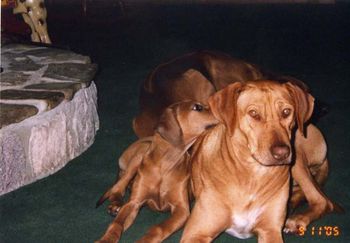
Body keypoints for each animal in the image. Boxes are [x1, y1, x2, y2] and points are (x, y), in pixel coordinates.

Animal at [94, 99, 217, 242]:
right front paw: (106, 239)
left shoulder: (181, 209)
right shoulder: (134, 203)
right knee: (118, 187)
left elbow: (158, 228)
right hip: (139, 155)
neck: (165, 166)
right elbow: (117, 223)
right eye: (197, 107)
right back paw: (116, 204)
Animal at [178, 80, 340, 242]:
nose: (282, 153)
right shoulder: (196, 233)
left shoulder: (270, 230)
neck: (253, 175)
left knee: (322, 200)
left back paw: (297, 219)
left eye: (286, 112)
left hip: (297, 158)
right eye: (254, 113)